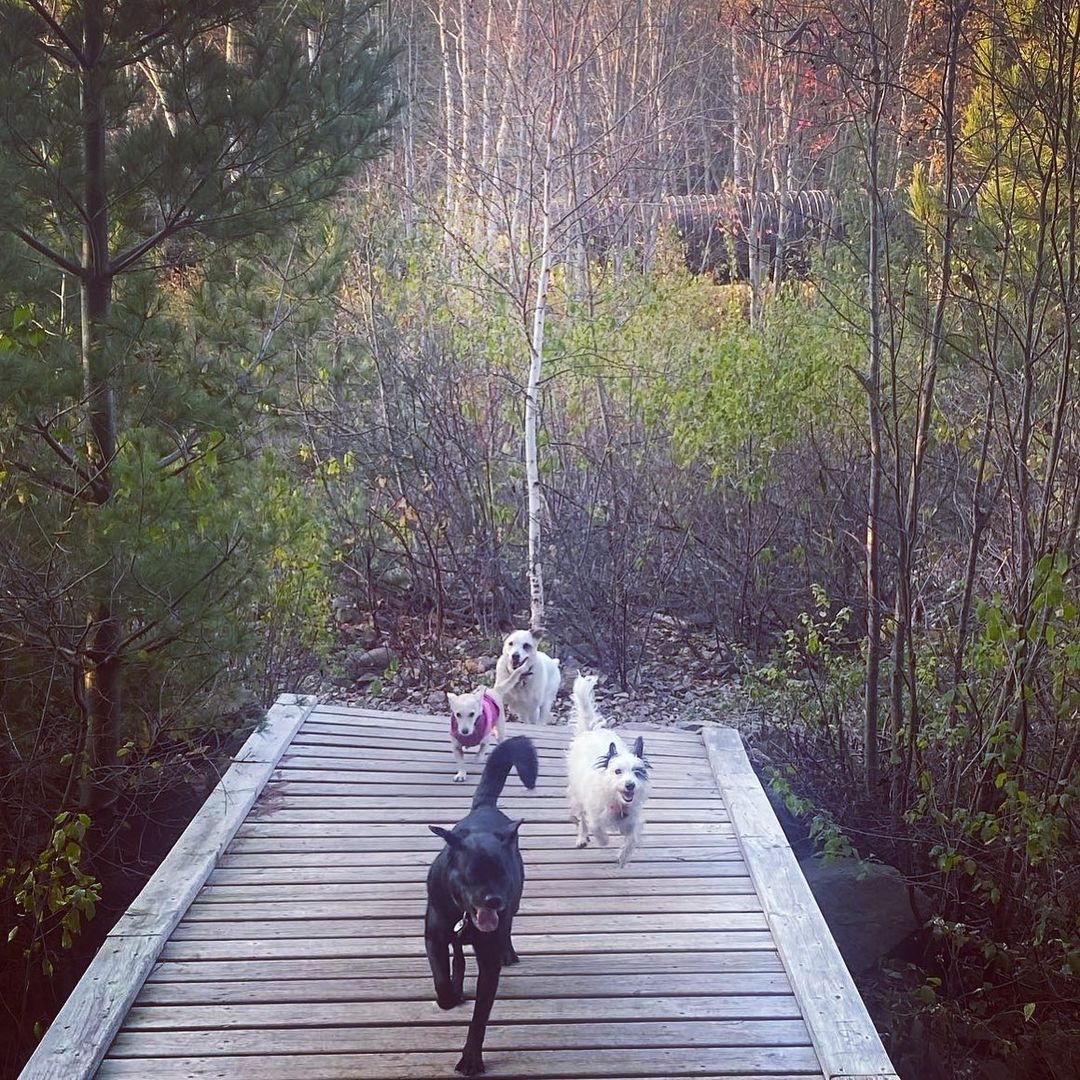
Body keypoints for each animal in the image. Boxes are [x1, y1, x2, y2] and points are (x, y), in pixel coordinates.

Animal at [425, 735, 538, 1076]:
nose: (494, 900)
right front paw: (451, 994)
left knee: (507, 928)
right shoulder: (434, 936)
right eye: (472, 874)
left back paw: (507, 951)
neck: (464, 913)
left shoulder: (488, 958)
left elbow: (481, 1016)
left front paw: (471, 1058)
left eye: (502, 873)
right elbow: (441, 981)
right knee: (458, 951)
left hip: (513, 906)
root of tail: (485, 807)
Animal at [566, 673, 650, 867]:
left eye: (637, 772)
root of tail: (590, 731)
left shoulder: (633, 820)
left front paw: (623, 857)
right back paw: (582, 838)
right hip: (577, 795)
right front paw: (604, 840)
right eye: (617, 771)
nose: (630, 785)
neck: (617, 802)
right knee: (582, 820)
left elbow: (632, 837)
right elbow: (597, 828)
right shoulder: (595, 814)